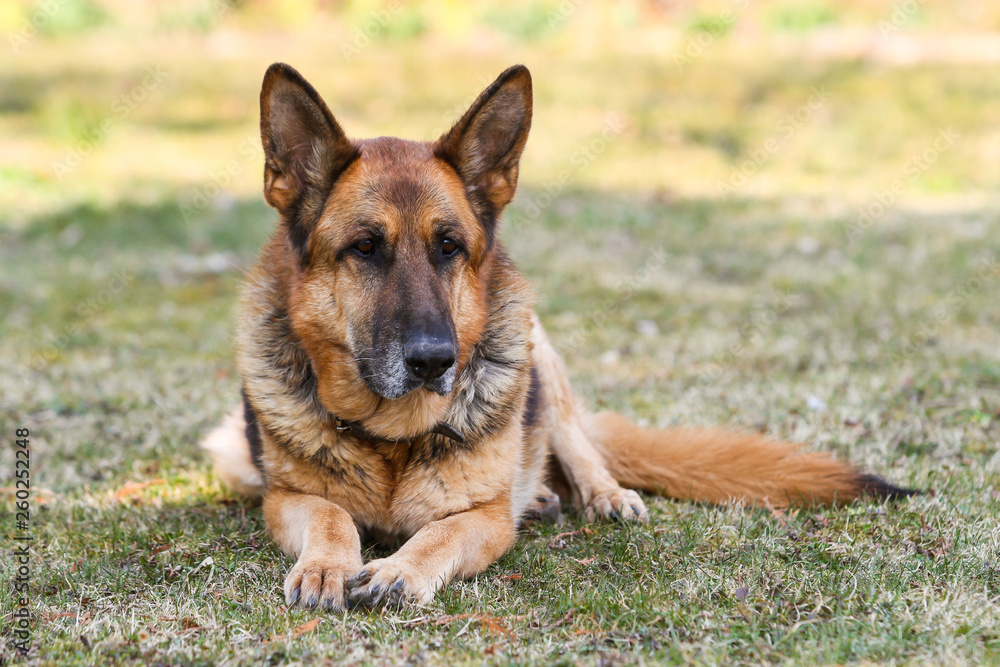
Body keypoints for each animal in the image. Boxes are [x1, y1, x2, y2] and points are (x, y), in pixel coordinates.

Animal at [201, 62, 916, 612]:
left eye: (450, 247)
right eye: (365, 248)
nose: (435, 362)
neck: (390, 437)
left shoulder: (487, 520)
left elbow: (438, 536)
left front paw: (400, 570)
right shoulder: (285, 500)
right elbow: (330, 514)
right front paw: (327, 565)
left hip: (542, 356)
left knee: (574, 444)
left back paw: (597, 495)